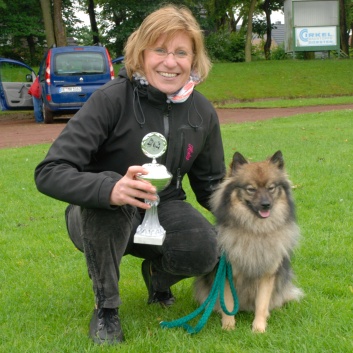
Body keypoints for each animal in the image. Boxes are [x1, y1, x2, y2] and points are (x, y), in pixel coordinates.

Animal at [192, 150, 302, 332]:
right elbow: (228, 303)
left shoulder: (267, 274)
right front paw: (228, 326)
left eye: (271, 188)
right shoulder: (227, 273)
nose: (266, 204)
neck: (255, 231)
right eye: (251, 189)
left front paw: (258, 328)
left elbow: (262, 304)